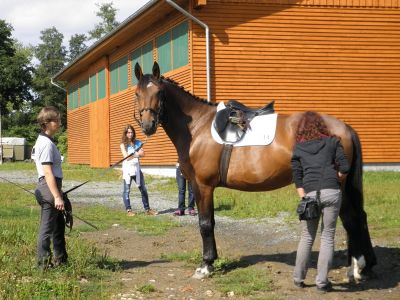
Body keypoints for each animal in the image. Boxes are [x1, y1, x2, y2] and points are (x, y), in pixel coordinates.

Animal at [136, 62, 376, 280]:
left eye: (159, 93)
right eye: (138, 94)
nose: (148, 125)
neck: (197, 127)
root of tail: (344, 127)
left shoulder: (202, 186)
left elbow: (205, 224)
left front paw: (206, 266)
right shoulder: (204, 188)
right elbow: (211, 222)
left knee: (351, 218)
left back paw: (357, 267)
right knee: (358, 217)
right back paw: (365, 265)